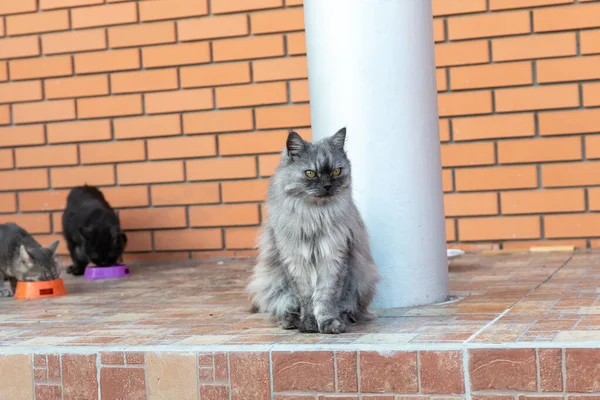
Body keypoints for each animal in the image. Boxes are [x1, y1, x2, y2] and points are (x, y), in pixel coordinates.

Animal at [245, 128, 378, 334]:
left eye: (336, 171)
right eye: (310, 173)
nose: (327, 186)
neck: (314, 216)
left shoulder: (333, 257)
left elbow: (326, 297)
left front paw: (329, 323)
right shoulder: (295, 261)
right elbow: (307, 298)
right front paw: (308, 325)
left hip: (361, 282)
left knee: (350, 309)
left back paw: (343, 319)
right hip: (274, 284)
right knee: (283, 308)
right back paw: (290, 321)